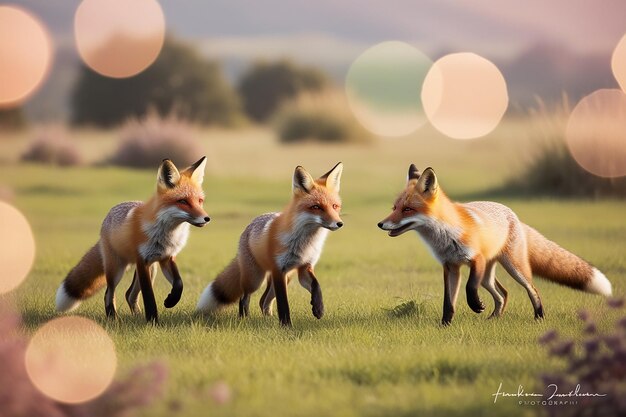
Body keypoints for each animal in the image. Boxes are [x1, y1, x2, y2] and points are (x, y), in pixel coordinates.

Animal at [55, 156, 210, 322]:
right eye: (183, 201)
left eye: (200, 201)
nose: (207, 218)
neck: (167, 234)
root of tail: (107, 218)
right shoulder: (142, 260)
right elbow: (149, 297)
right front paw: (153, 321)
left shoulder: (166, 258)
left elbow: (179, 283)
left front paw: (171, 301)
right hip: (116, 269)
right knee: (109, 293)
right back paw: (113, 318)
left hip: (151, 268)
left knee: (129, 294)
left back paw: (137, 316)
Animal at [195, 162, 342, 324]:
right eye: (316, 207)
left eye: (335, 206)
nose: (339, 223)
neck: (305, 243)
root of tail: (249, 226)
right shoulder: (279, 270)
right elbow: (283, 304)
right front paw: (286, 325)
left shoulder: (304, 267)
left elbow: (317, 286)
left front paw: (318, 308)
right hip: (255, 278)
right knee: (244, 297)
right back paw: (244, 319)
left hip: (285, 277)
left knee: (263, 300)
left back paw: (267, 318)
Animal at [376, 163, 608, 324]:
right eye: (394, 207)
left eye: (407, 209)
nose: (380, 224)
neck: (445, 235)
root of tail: (513, 215)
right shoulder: (450, 266)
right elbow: (448, 302)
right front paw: (444, 325)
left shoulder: (475, 259)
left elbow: (469, 287)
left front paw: (475, 305)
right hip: (488, 276)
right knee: (503, 294)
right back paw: (495, 318)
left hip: (515, 268)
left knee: (531, 289)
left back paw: (539, 317)